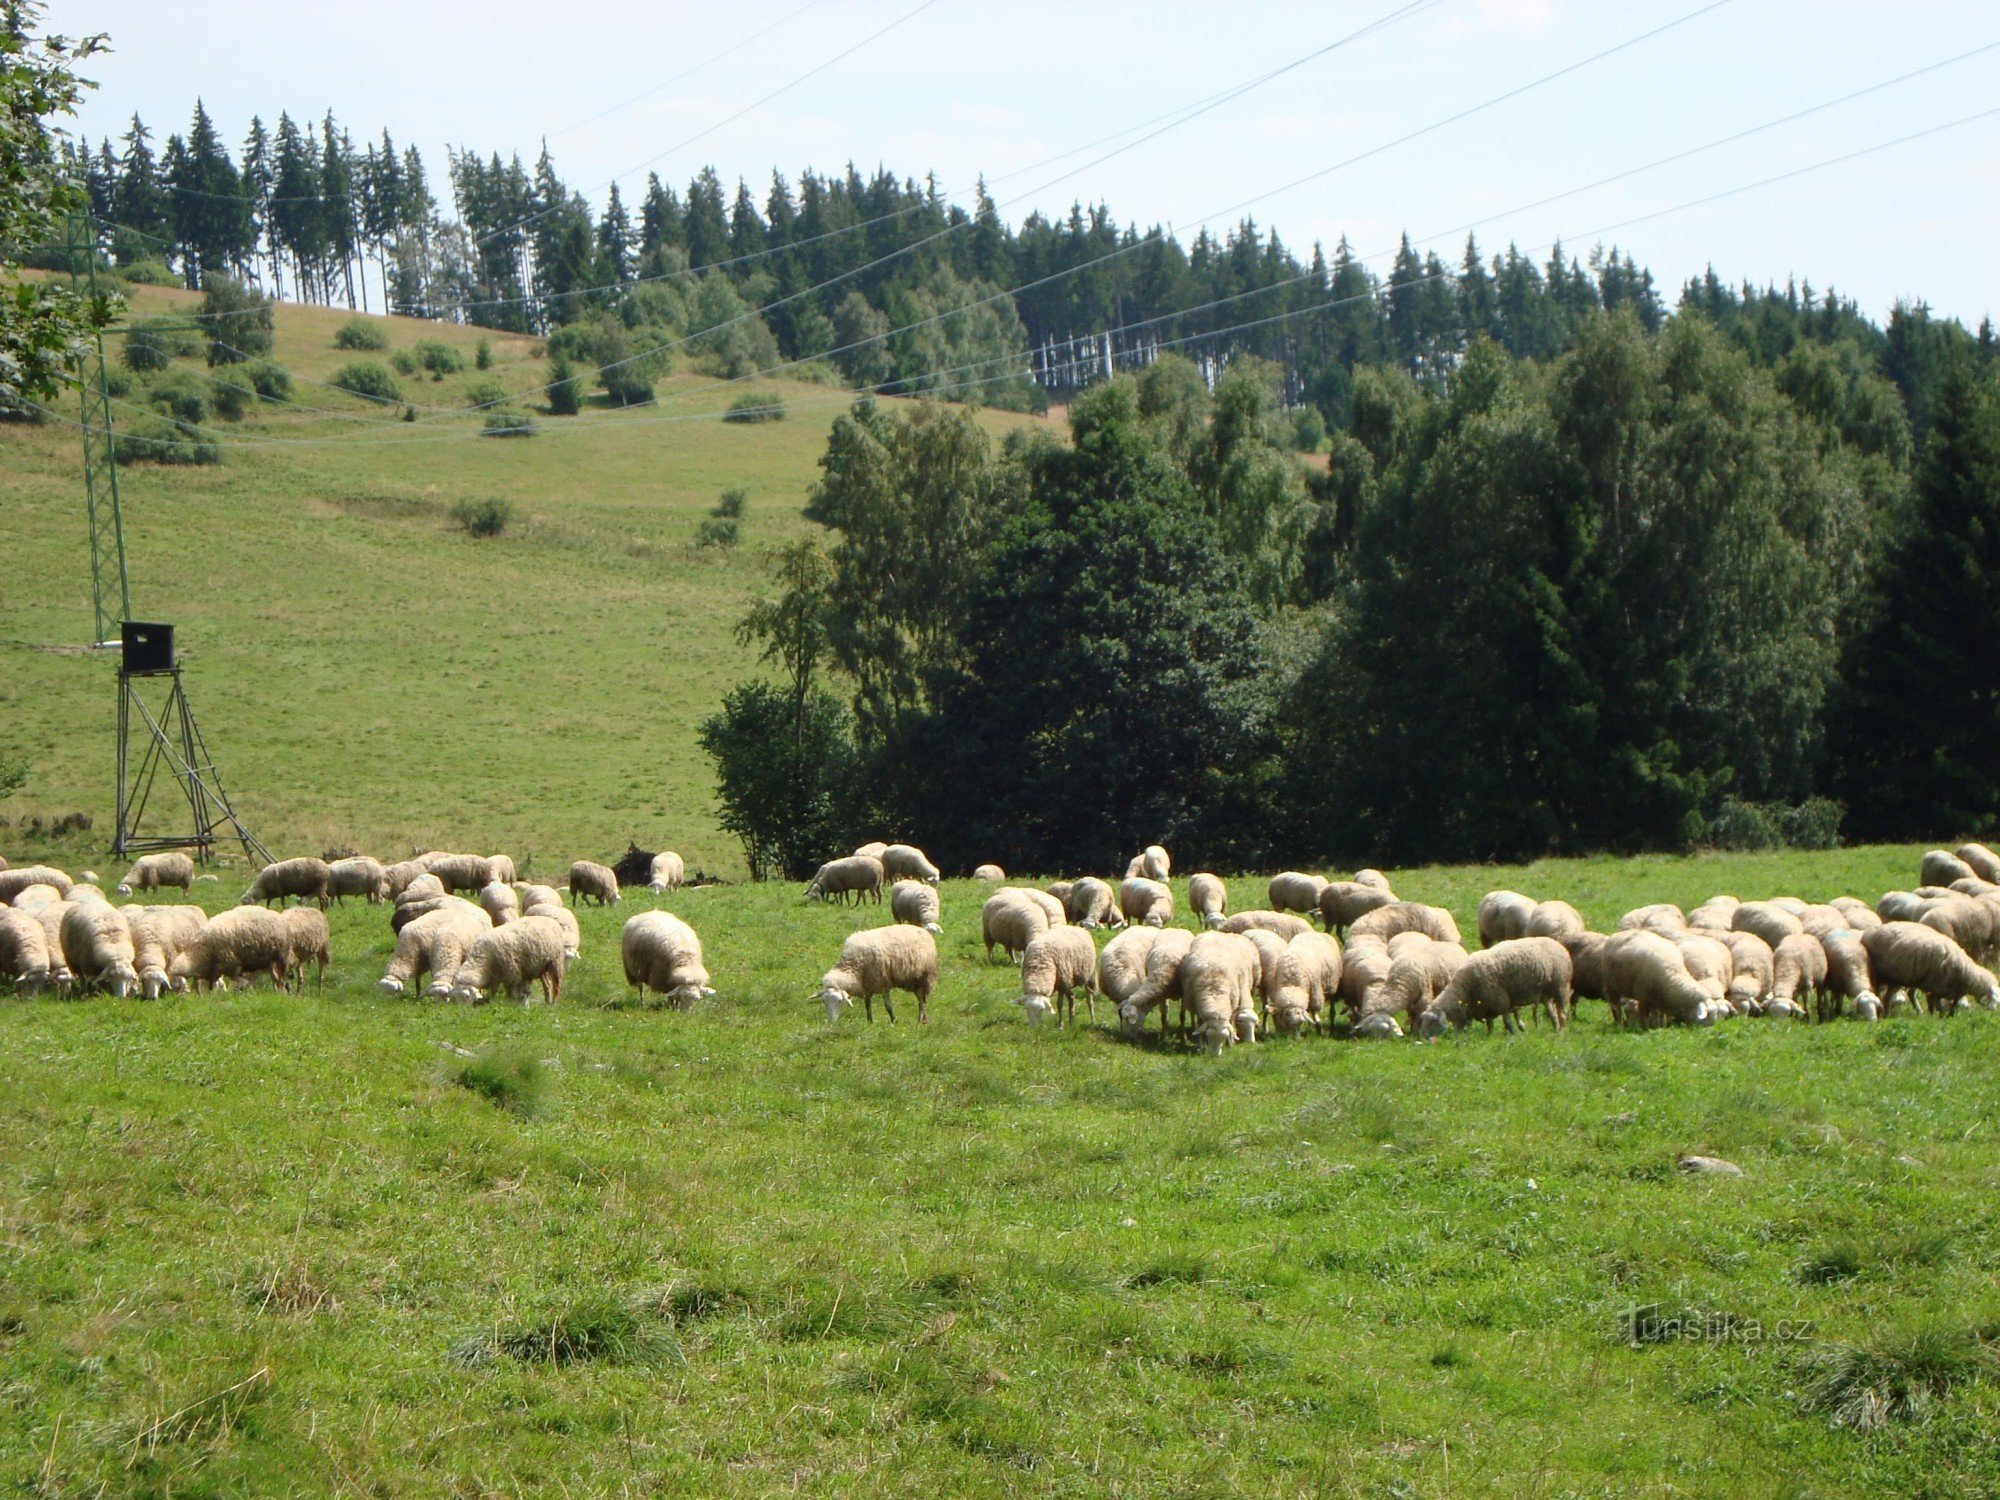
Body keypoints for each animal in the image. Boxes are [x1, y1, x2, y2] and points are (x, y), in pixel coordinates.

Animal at [1424, 944, 1576, 1040]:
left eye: (1432, 1022)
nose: (1425, 1040)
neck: (1464, 990)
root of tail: (1559, 945)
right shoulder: (1485, 1006)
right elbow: (1490, 1024)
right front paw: (1489, 1036)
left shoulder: (1500, 1001)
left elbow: (1506, 1021)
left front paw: (1514, 1034)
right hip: (1545, 993)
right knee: (1552, 1013)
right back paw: (1556, 1029)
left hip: (1560, 986)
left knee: (1562, 1012)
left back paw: (1562, 1030)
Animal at [1600, 928, 1728, 1032]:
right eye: (1706, 1019)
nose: (1705, 1033)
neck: (1675, 975)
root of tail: (1618, 934)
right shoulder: (1644, 995)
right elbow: (1644, 1014)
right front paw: (1646, 1029)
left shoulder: (1661, 998)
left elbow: (1661, 1014)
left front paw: (1661, 1026)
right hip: (1611, 986)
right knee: (1616, 1007)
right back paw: (1619, 1024)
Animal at [1856, 924, 2000, 1016]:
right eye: (1993, 999)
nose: (1993, 1014)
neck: (1965, 972)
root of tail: (1867, 933)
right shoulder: (1936, 986)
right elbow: (1935, 1004)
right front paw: (1936, 1017)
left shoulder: (1950, 990)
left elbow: (1952, 1005)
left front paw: (1948, 1016)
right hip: (1888, 976)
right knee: (1885, 996)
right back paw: (1886, 1014)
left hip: (1904, 977)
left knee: (1897, 995)